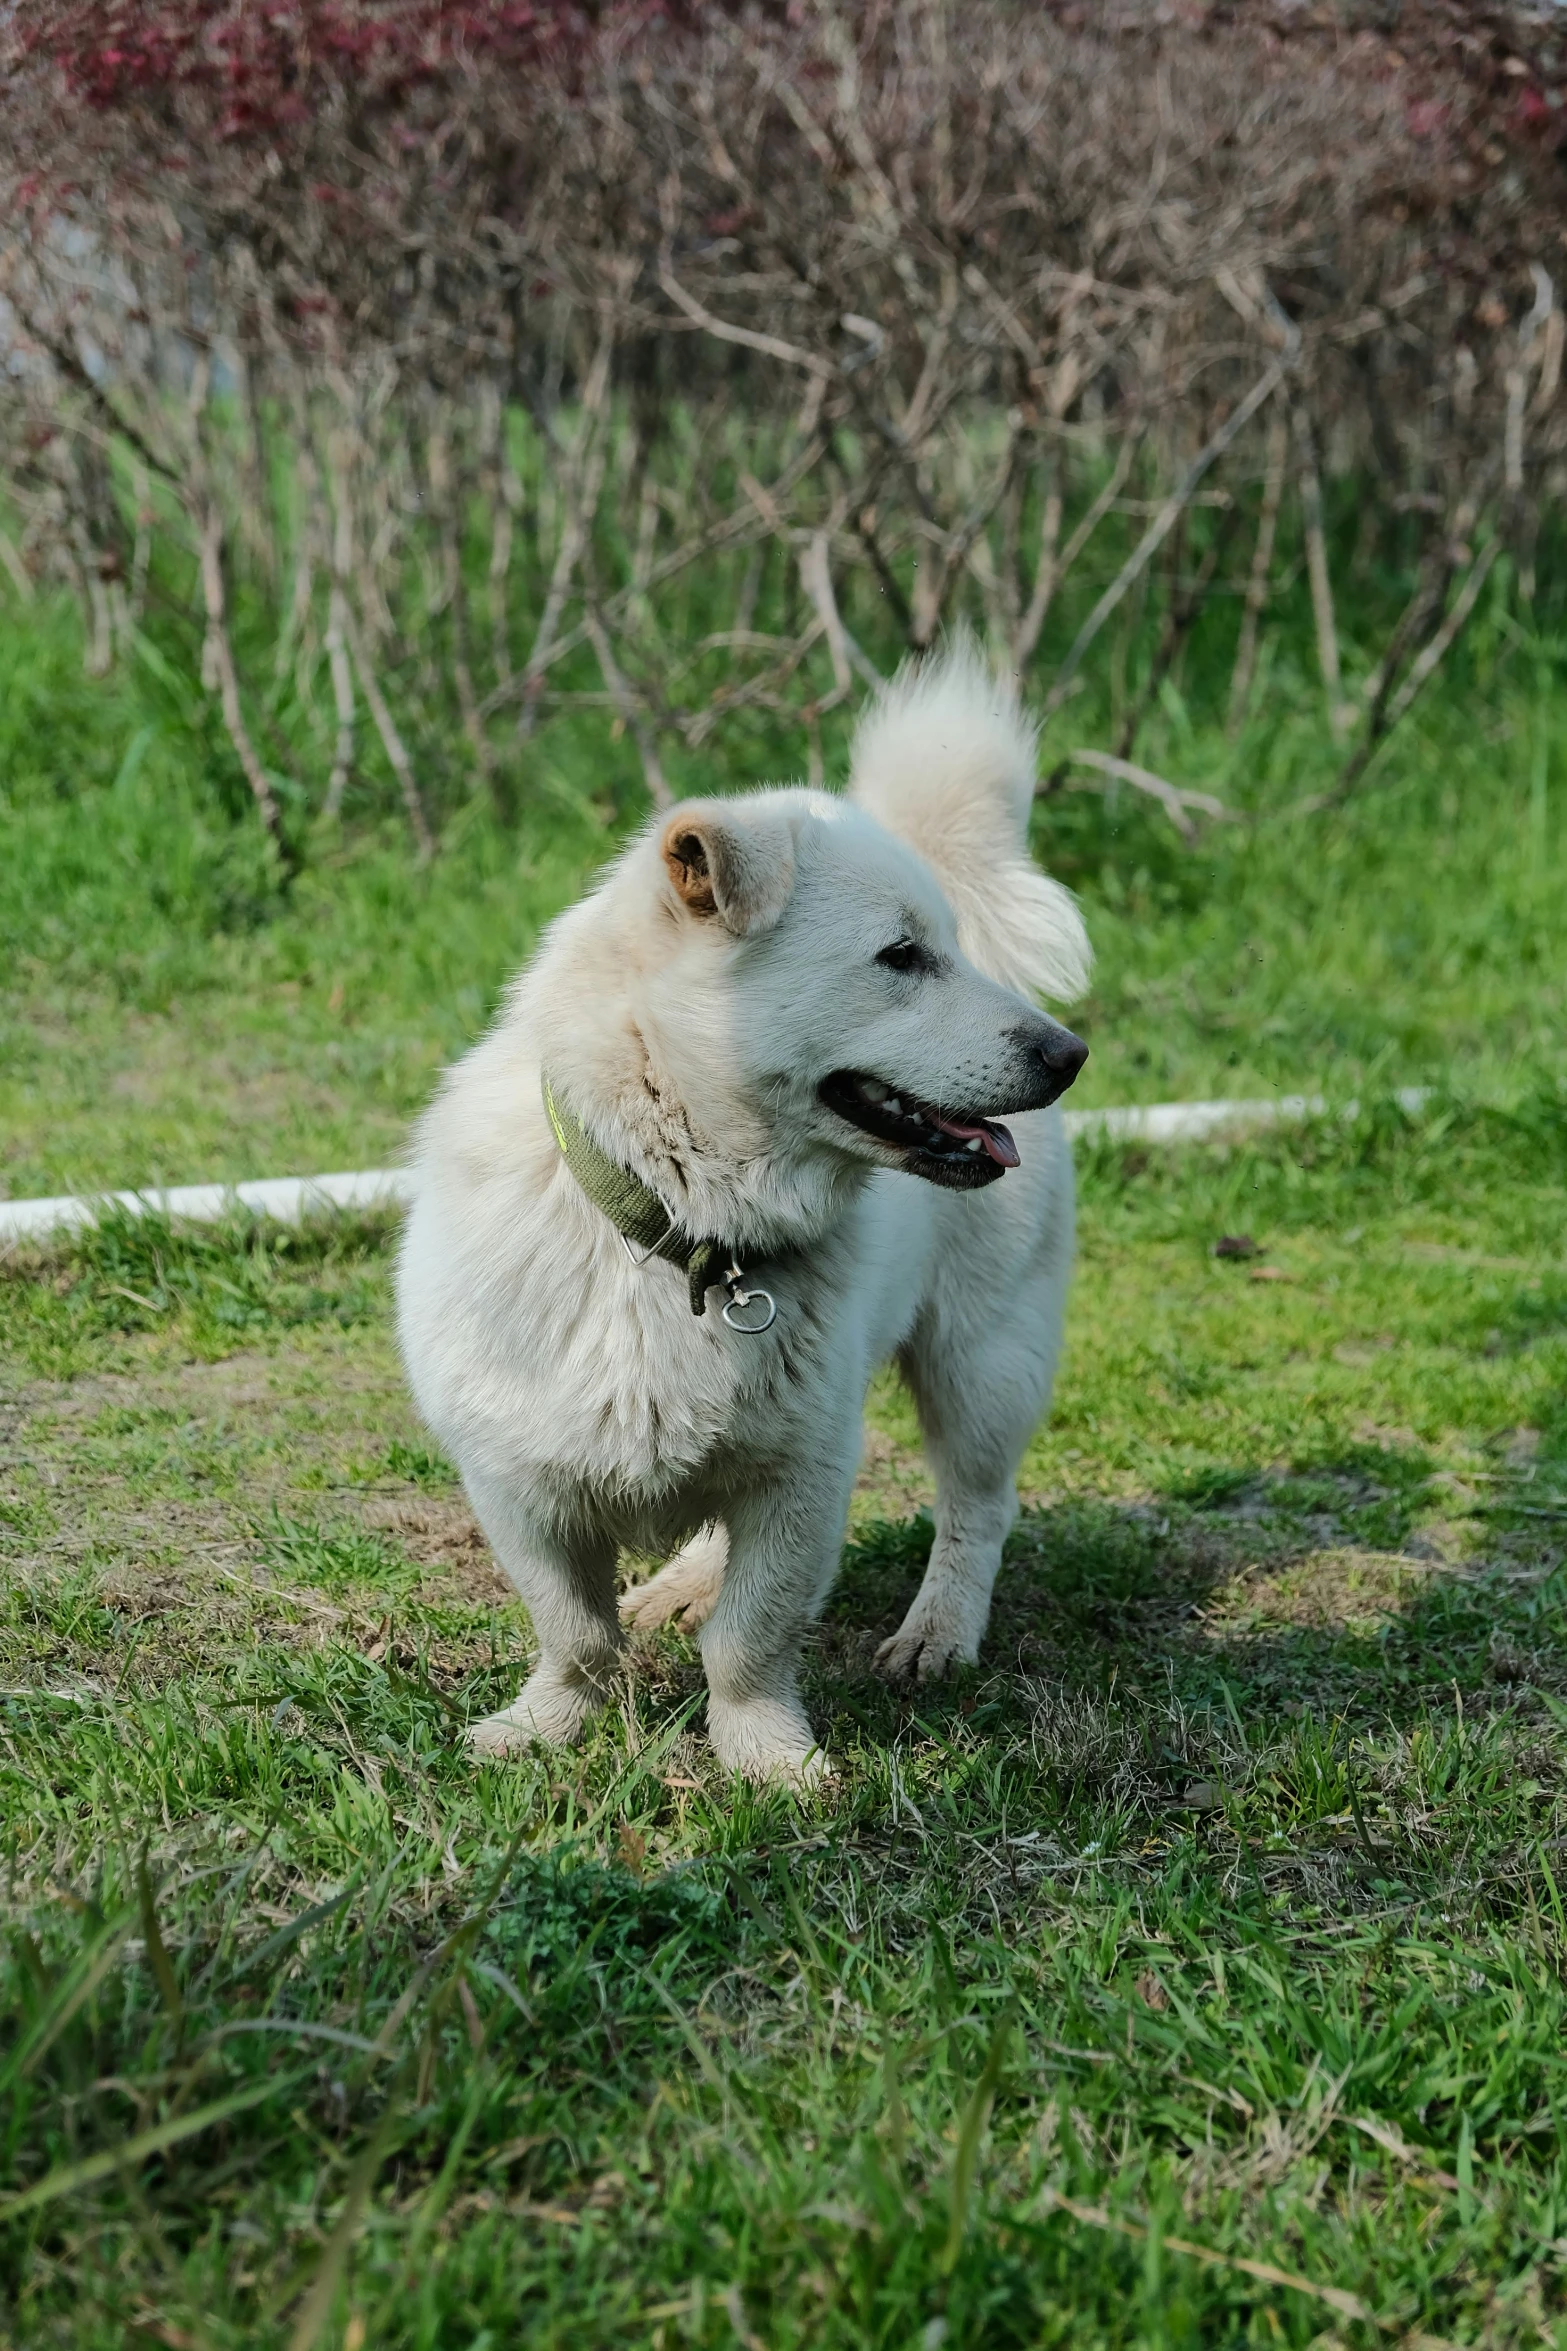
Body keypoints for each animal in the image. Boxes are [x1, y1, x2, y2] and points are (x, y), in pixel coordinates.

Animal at [394, 648, 1090, 1777]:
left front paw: (768, 1757)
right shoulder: (518, 1488)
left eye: (938, 947)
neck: (681, 1237)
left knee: (978, 1509)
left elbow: (751, 1637)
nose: (1070, 1054)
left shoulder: (803, 1478)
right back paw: (679, 1585)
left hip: (983, 1360)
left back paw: (937, 1633)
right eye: (900, 956)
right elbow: (574, 1630)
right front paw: (547, 1724)